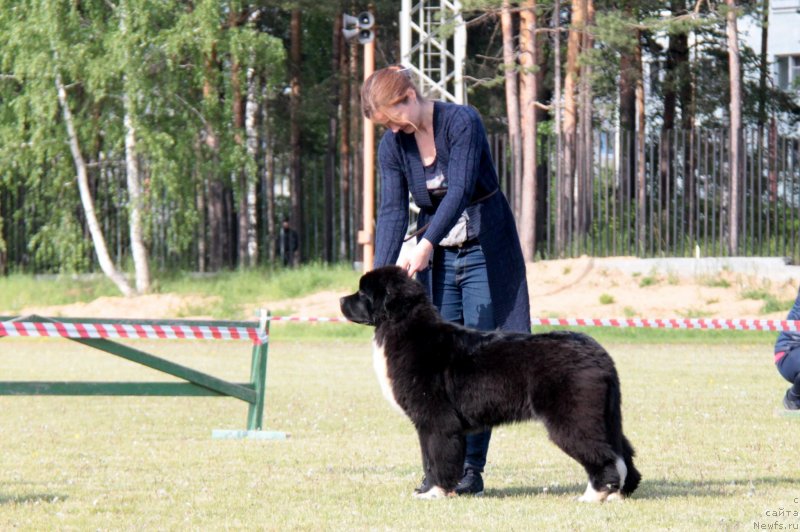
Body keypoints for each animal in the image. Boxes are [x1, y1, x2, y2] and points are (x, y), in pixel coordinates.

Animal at [340, 268, 640, 500]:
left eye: (364, 294)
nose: (341, 299)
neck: (405, 327)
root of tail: (598, 353)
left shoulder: (436, 420)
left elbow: (437, 458)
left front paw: (435, 492)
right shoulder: (428, 423)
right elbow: (429, 458)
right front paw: (429, 489)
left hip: (574, 417)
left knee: (602, 455)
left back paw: (595, 494)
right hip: (604, 416)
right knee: (622, 452)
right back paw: (620, 493)